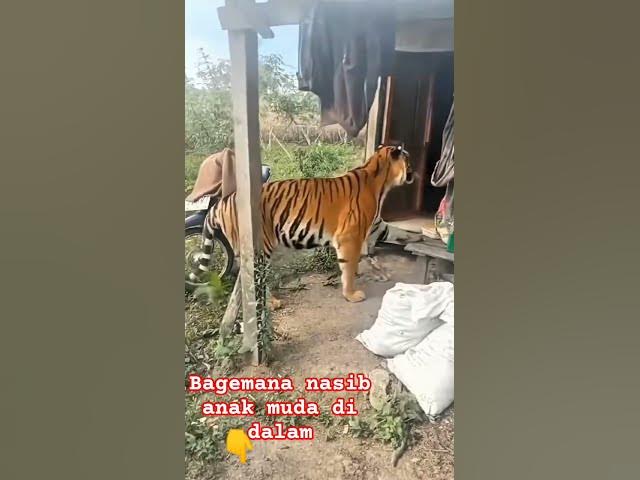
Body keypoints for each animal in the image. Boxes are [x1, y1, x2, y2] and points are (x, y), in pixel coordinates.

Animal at [192, 144, 414, 303]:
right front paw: (351, 294)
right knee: (253, 279)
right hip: (261, 247)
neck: (381, 183)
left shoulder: (376, 225)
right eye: (409, 160)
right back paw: (271, 303)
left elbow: (394, 234)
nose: (415, 173)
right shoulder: (349, 236)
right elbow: (349, 267)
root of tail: (222, 200)